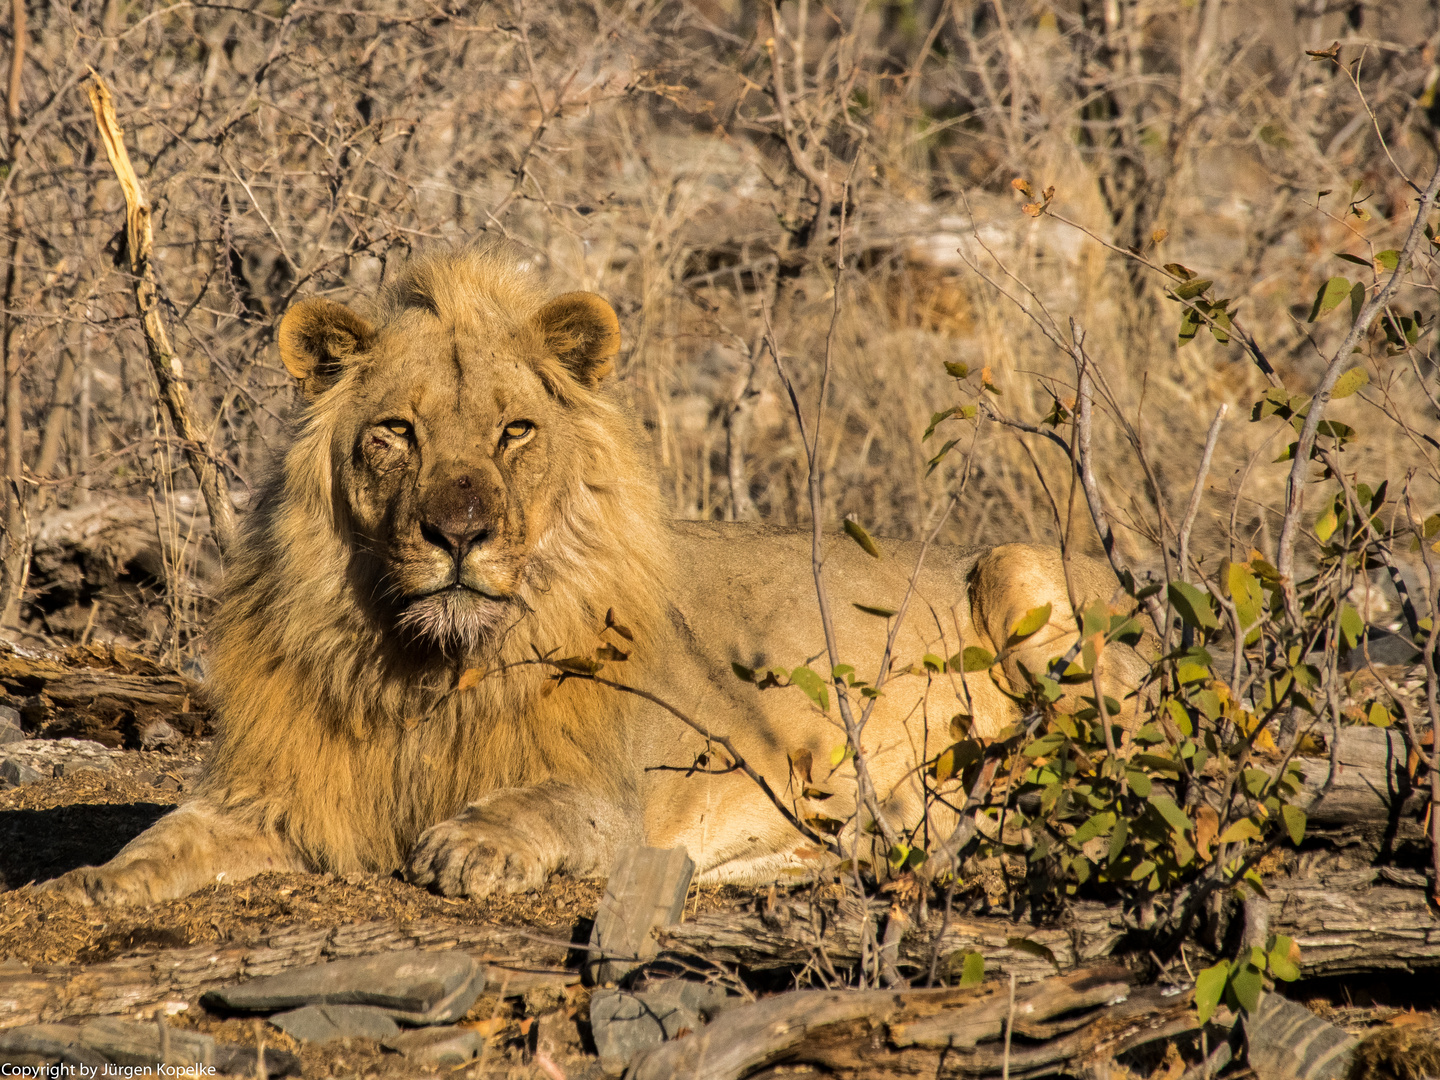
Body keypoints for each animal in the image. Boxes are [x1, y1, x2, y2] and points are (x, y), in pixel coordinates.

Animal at [36, 243, 1146, 904]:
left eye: (514, 432)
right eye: (397, 432)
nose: (458, 532)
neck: (427, 671)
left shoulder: (642, 785)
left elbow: (554, 803)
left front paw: (471, 844)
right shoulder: (278, 791)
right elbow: (170, 835)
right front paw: (94, 883)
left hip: (1016, 570)